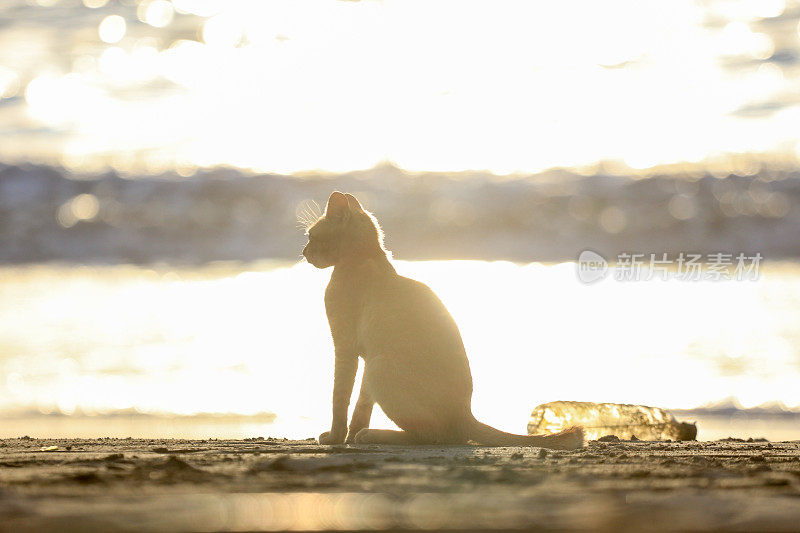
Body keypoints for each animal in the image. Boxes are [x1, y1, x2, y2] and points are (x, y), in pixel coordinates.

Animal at [304, 191, 584, 448]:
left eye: (311, 236)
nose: (304, 252)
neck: (365, 258)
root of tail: (465, 414)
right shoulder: (364, 356)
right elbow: (362, 405)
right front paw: (350, 434)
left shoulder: (346, 349)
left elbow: (339, 398)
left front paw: (336, 438)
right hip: (375, 364)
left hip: (379, 365)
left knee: (432, 436)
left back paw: (375, 435)